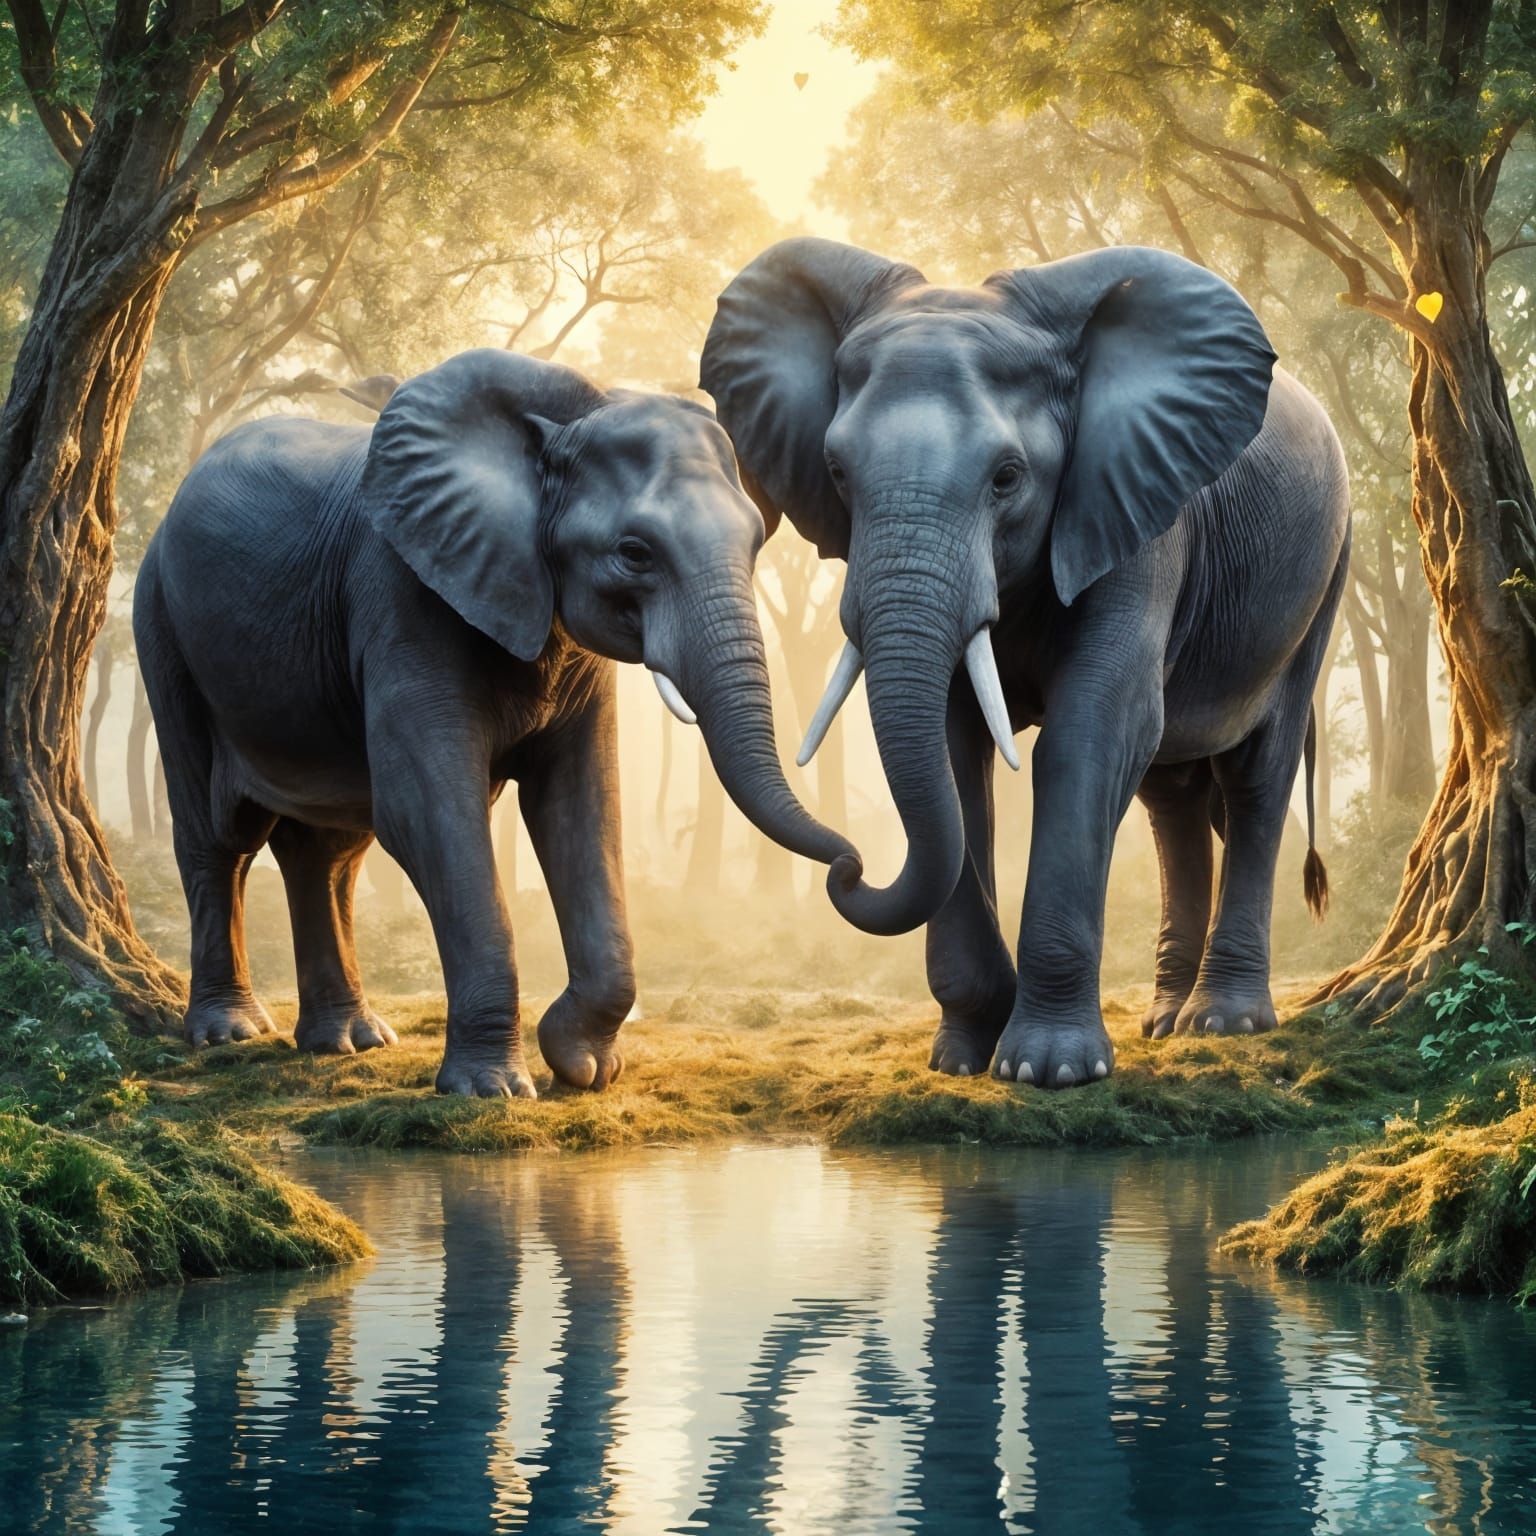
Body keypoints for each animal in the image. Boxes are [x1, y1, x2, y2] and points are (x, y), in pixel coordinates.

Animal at [134, 348, 857, 1098]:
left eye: (758, 541)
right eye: (634, 552)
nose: (851, 870)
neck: (569, 413)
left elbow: (577, 806)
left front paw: (582, 1067)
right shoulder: (401, 596)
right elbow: (426, 811)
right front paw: (495, 1089)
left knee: (328, 852)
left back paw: (348, 1041)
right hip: (161, 627)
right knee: (220, 836)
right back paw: (232, 1031)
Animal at [701, 240, 1349, 1089]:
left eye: (1007, 478)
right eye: (837, 474)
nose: (848, 868)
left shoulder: (1137, 514)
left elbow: (1090, 734)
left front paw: (1051, 1071)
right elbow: (955, 750)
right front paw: (962, 1058)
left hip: (1322, 579)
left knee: (1255, 780)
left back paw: (1223, 1022)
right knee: (1171, 798)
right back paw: (1166, 1020)